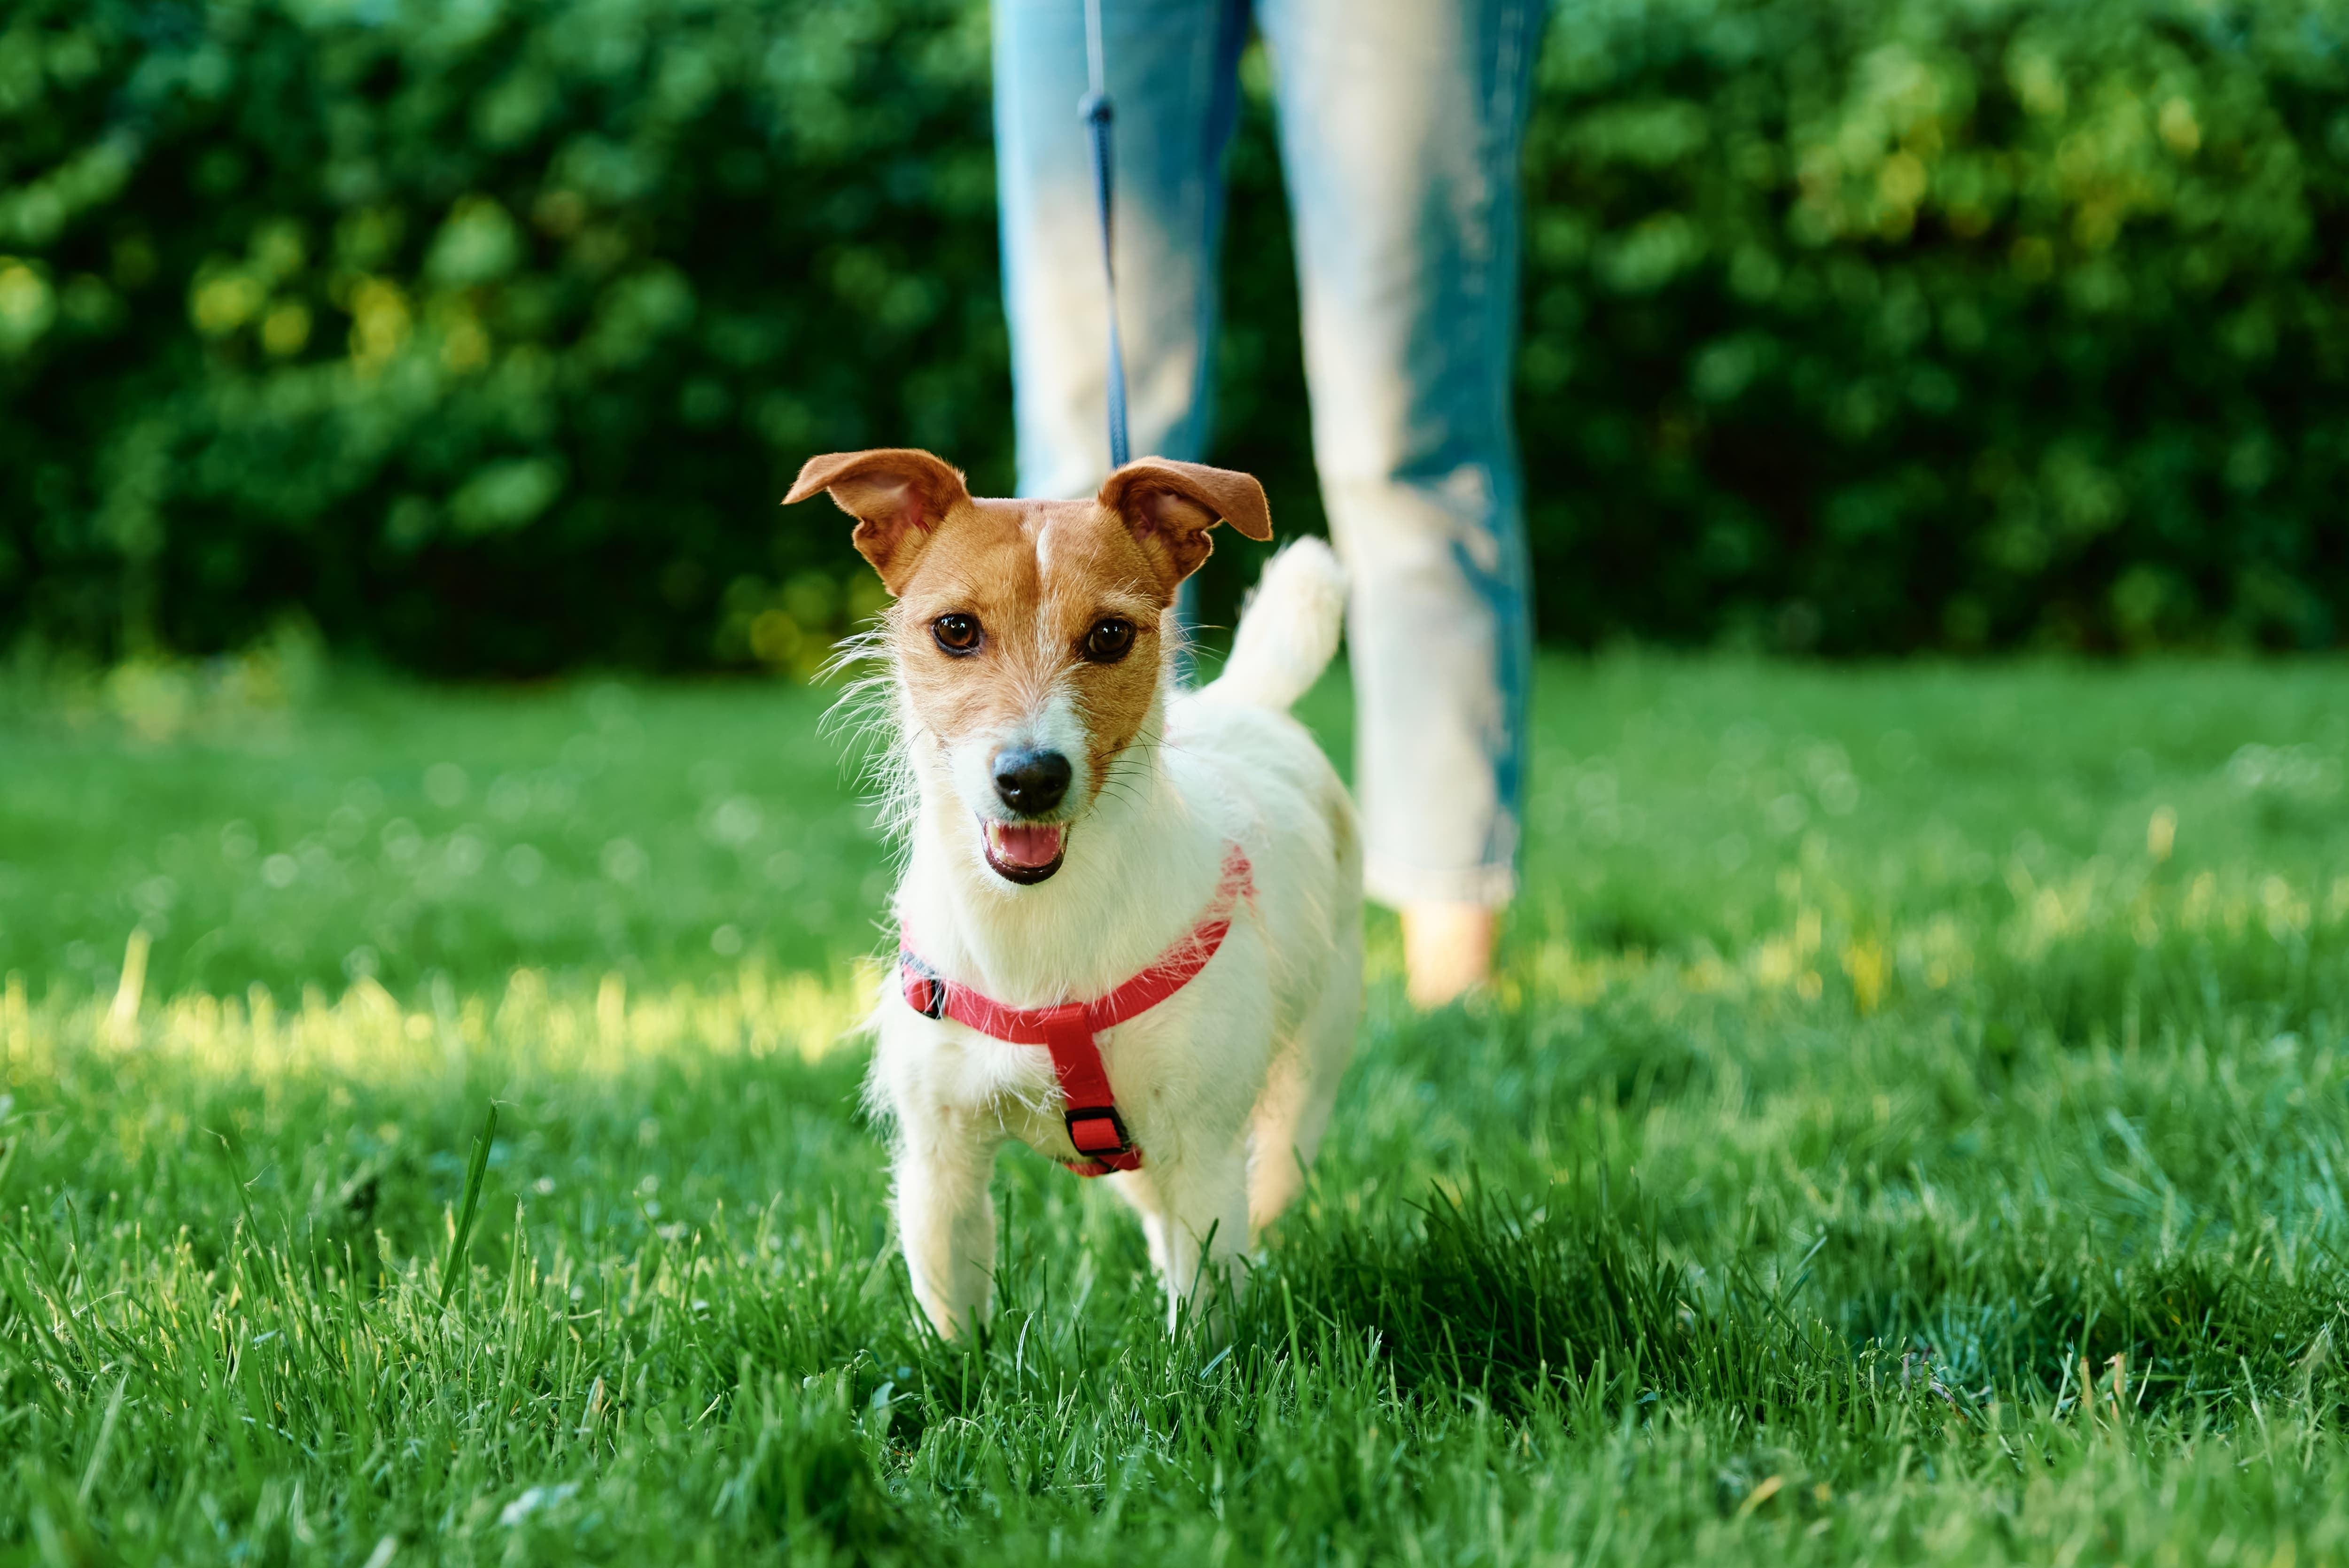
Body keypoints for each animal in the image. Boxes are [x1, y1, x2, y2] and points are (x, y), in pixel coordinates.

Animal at [789, 443, 1362, 1333]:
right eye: (956, 629)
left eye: (1110, 634)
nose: (1031, 777)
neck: (1037, 930)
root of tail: (1245, 703)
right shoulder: (940, 1163)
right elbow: (954, 1325)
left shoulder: (1202, 1155)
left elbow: (1204, 1315)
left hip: (1299, 1093)